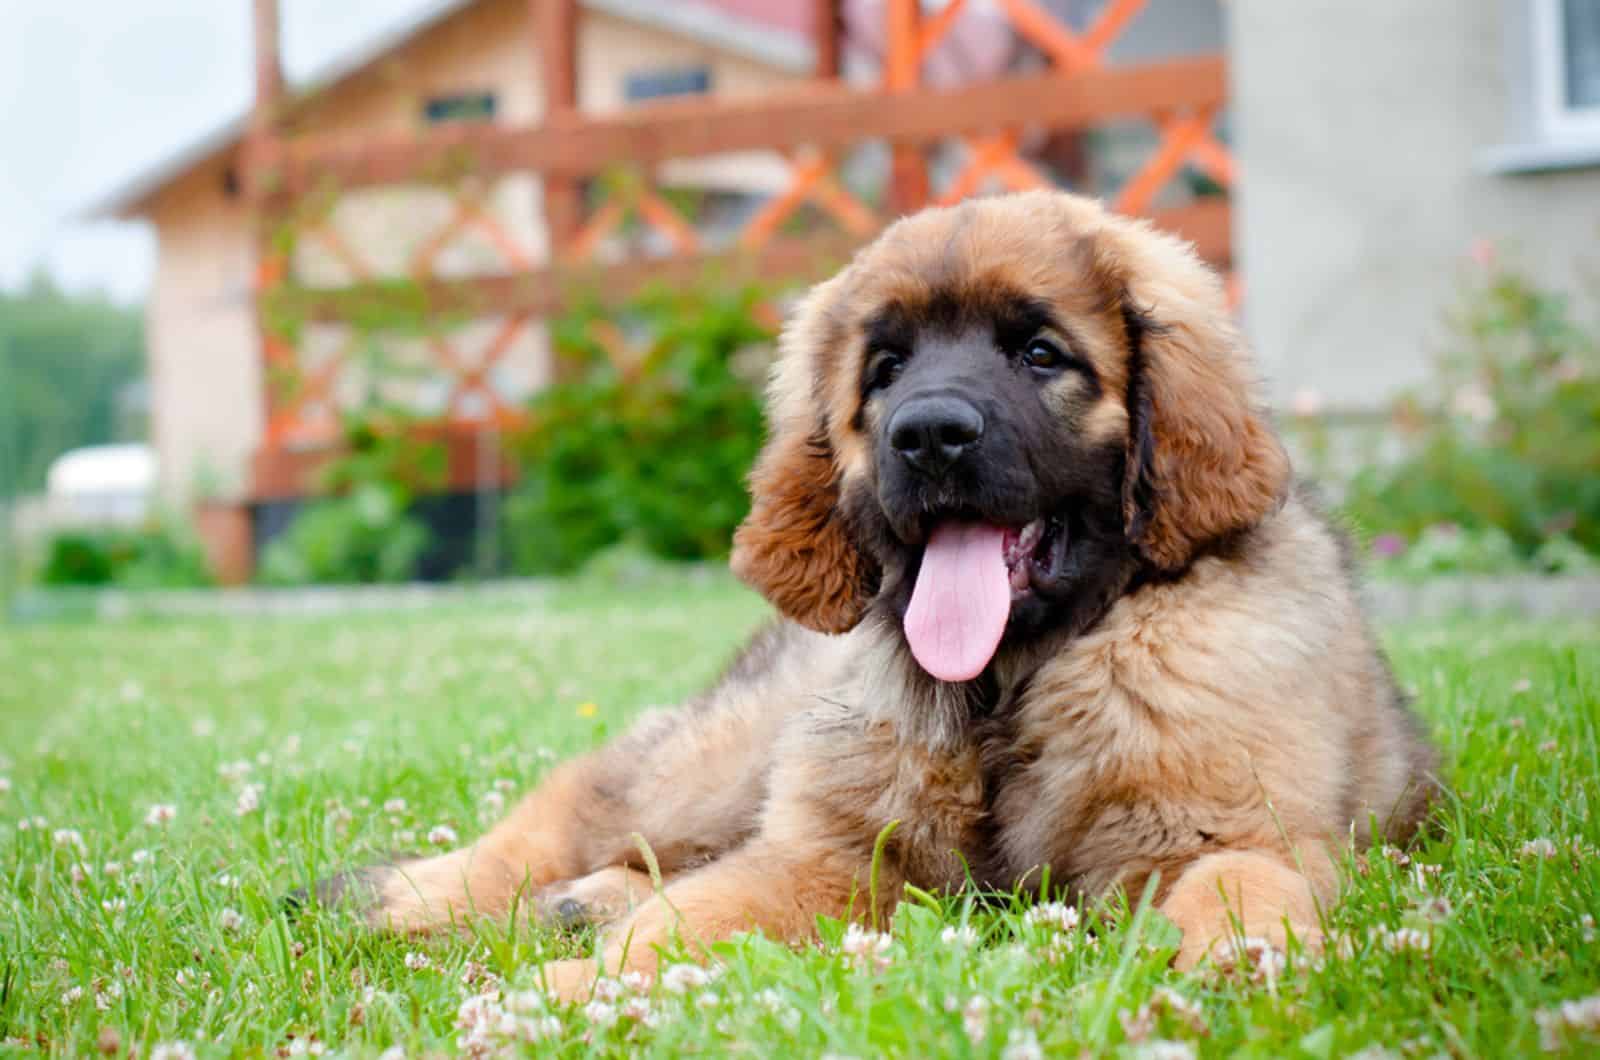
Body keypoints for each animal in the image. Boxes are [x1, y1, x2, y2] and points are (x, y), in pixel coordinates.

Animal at [312, 192, 1440, 1005]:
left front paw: (1240, 965)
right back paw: (406, 900)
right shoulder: (833, 854)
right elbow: (692, 918)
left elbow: (1244, 887)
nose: (929, 435)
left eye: (1040, 353)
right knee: (575, 811)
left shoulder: (1226, 830)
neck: (1007, 688)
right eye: (886, 368)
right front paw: (575, 988)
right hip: (712, 764)